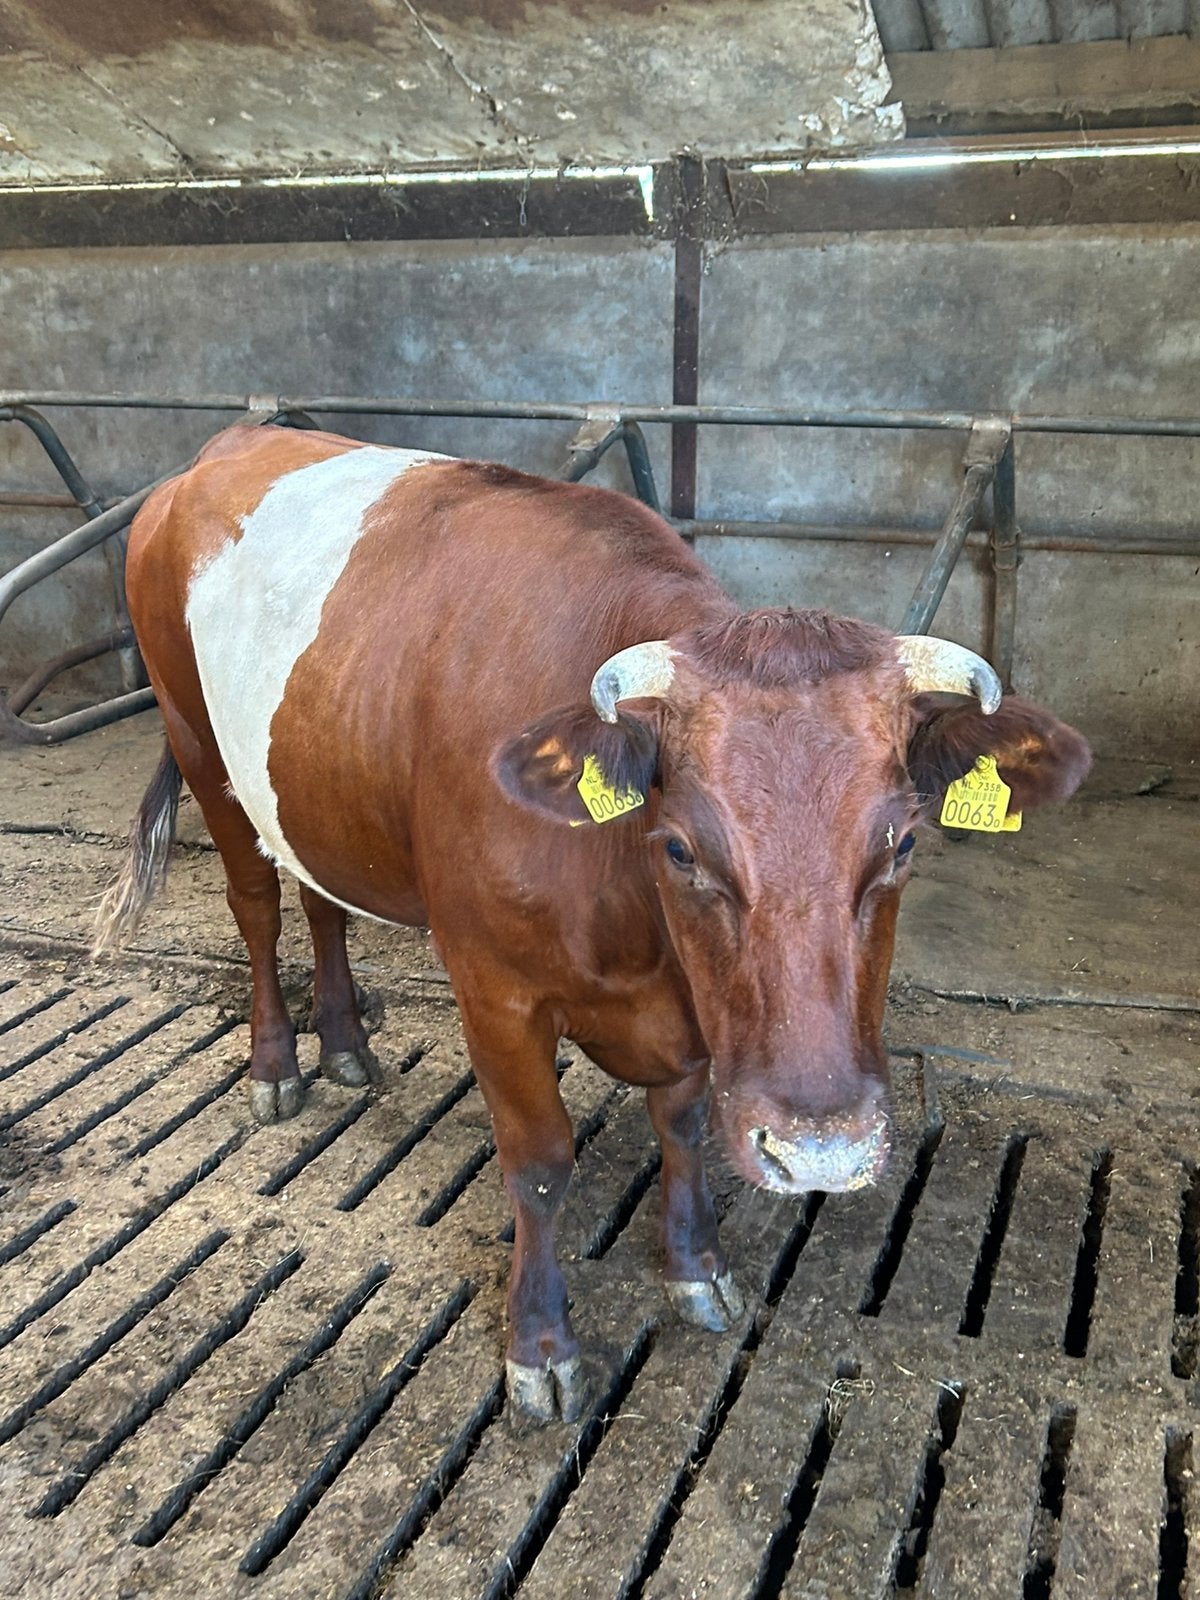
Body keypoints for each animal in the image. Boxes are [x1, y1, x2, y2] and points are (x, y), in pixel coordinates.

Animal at [96, 424, 1090, 1423]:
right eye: (682, 848)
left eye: (903, 843)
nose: (823, 1150)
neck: (641, 942)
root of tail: (230, 444)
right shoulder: (494, 989)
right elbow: (540, 1162)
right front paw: (539, 1345)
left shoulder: (691, 1018)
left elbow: (682, 1126)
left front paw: (696, 1268)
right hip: (197, 741)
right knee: (258, 907)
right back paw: (277, 1065)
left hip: (314, 793)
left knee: (318, 897)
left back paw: (342, 1040)